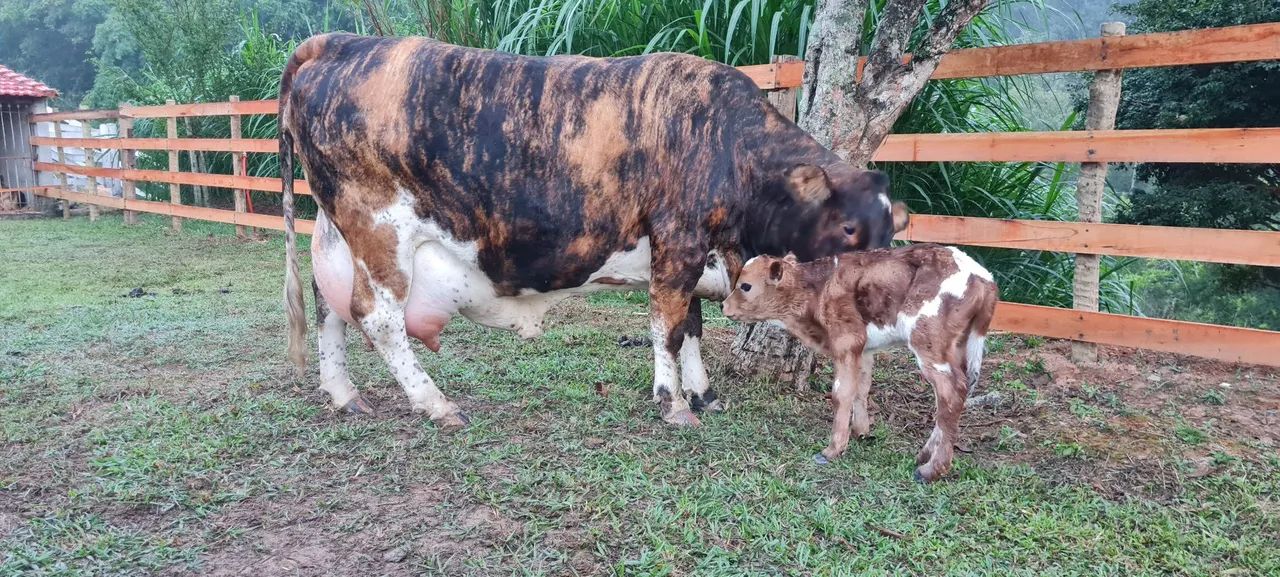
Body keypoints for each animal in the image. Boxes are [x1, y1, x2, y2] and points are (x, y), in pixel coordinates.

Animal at [278, 33, 910, 431]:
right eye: (848, 225)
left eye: (889, 234)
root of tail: (339, 41)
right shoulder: (677, 242)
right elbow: (668, 329)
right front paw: (673, 403)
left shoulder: (691, 255)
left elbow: (692, 326)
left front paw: (703, 394)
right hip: (377, 228)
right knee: (378, 317)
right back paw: (435, 403)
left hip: (339, 235)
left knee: (333, 307)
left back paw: (344, 396)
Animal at [721, 245, 997, 483]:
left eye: (745, 286)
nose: (723, 305)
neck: (816, 290)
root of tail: (983, 276)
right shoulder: (864, 349)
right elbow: (861, 389)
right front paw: (860, 432)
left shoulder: (846, 341)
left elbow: (841, 393)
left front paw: (833, 450)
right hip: (957, 346)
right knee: (951, 397)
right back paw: (924, 455)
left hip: (929, 342)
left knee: (951, 393)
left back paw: (930, 470)